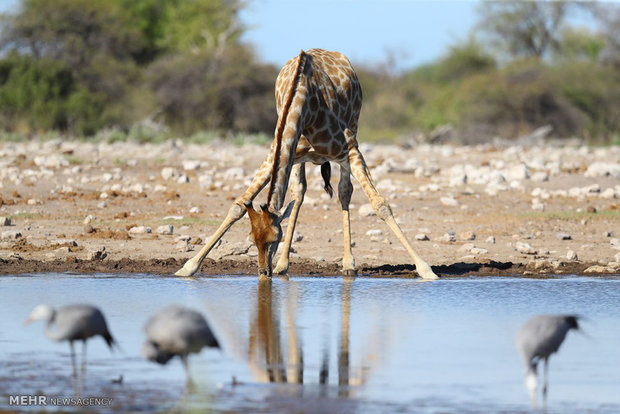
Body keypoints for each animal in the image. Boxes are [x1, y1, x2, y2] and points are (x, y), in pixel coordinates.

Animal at [174, 50, 436, 280]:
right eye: (251, 238)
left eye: (274, 239)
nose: (263, 273)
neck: (304, 103)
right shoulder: (277, 151)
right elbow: (238, 204)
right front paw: (187, 267)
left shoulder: (351, 148)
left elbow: (380, 205)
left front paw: (426, 270)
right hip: (297, 160)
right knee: (299, 194)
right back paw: (283, 265)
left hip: (350, 134)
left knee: (344, 192)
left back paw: (348, 264)